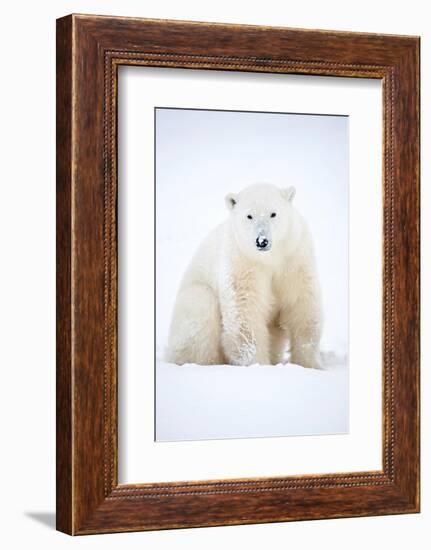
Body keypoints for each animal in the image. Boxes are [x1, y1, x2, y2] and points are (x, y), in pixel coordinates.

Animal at [165, 183, 324, 368]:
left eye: (273, 213)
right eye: (249, 216)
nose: (261, 241)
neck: (270, 258)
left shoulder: (294, 258)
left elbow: (302, 306)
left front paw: (309, 364)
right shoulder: (242, 260)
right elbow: (245, 312)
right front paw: (258, 365)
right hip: (193, 301)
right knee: (201, 308)